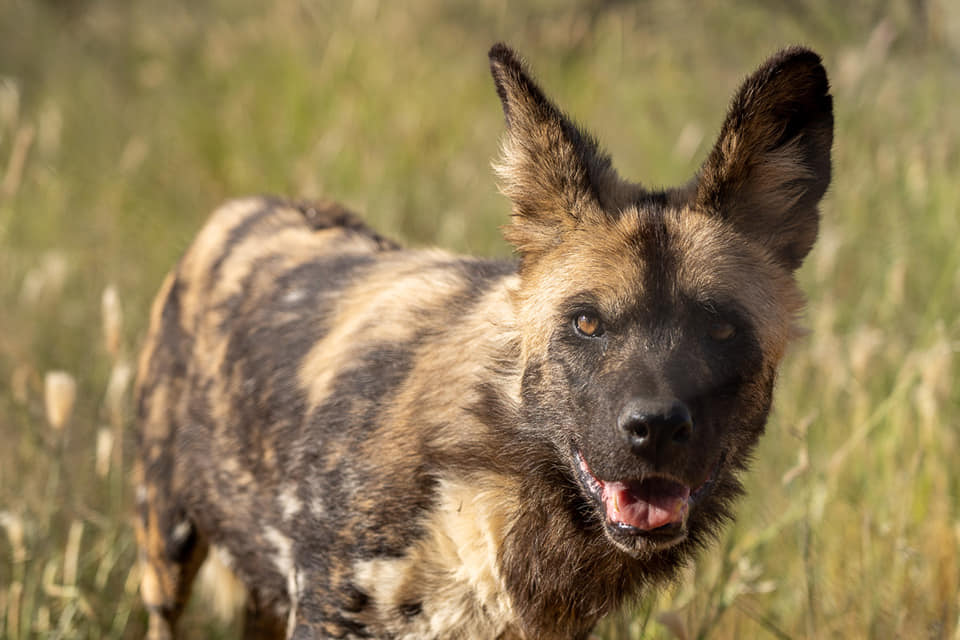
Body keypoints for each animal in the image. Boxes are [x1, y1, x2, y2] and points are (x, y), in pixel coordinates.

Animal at [135, 45, 832, 640]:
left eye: (721, 329)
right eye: (586, 324)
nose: (655, 428)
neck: (502, 482)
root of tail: (242, 209)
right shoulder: (330, 609)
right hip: (165, 555)